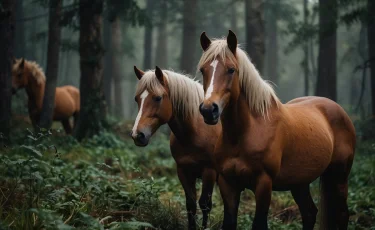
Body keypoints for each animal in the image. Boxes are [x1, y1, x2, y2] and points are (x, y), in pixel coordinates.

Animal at [131, 65, 222, 229]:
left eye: (158, 98)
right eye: (137, 99)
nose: (137, 135)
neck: (197, 131)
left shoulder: (209, 172)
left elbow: (205, 204)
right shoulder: (183, 171)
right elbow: (191, 204)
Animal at [198, 30, 356, 230]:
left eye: (231, 69)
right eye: (203, 70)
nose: (208, 110)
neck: (245, 133)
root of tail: (339, 110)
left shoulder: (264, 184)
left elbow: (259, 224)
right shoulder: (228, 184)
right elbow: (229, 222)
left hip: (339, 177)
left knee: (342, 214)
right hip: (300, 182)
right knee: (309, 213)